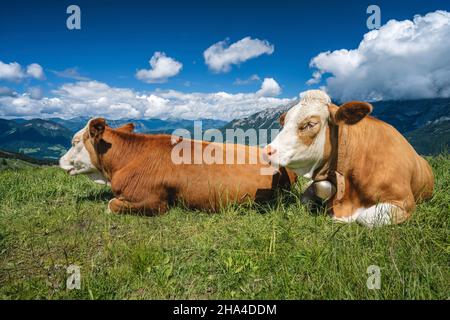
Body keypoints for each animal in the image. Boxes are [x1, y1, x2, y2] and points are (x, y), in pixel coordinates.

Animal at [262, 89, 434, 226]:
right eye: (284, 123)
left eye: (310, 124)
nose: (266, 151)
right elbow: (311, 193)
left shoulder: (404, 202)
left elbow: (365, 218)